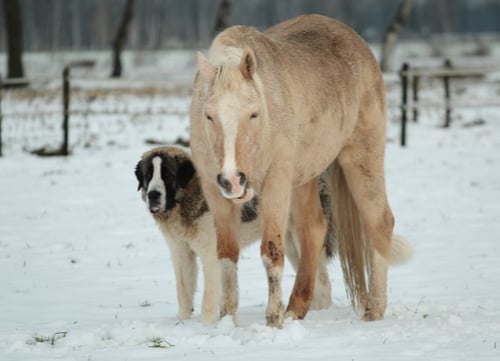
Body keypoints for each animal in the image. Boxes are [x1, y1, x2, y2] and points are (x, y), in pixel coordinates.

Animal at [189, 14, 408, 326]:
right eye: (208, 116)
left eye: (254, 113)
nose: (233, 179)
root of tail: (357, 42)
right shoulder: (215, 191)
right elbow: (227, 254)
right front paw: (227, 319)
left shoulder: (276, 185)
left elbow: (271, 251)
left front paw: (273, 319)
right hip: (305, 178)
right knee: (314, 229)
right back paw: (296, 308)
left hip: (362, 159)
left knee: (380, 222)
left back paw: (374, 310)